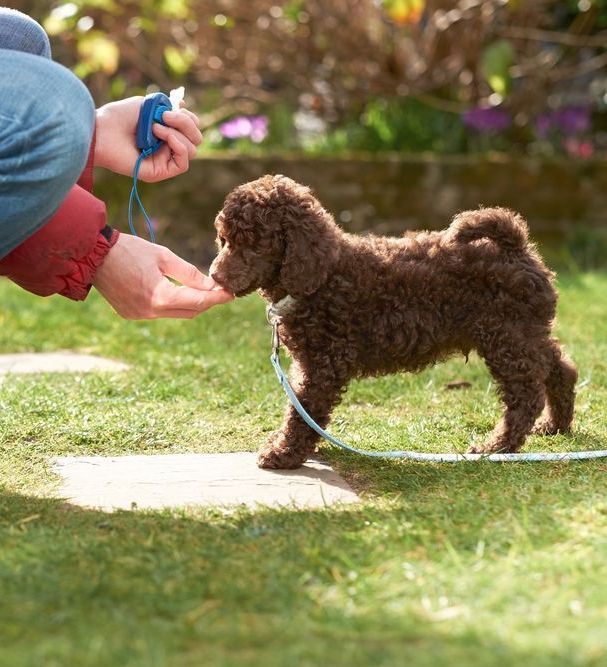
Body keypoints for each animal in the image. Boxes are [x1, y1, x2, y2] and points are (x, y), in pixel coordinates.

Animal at [210, 177, 580, 470]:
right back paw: (555, 425)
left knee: (525, 395)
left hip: (507, 336)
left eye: (253, 243)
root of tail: (516, 247)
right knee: (560, 368)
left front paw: (283, 453)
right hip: (525, 333)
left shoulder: (323, 364)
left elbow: (302, 410)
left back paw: (497, 447)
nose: (214, 276)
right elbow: (301, 409)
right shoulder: (311, 363)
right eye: (224, 240)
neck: (324, 276)